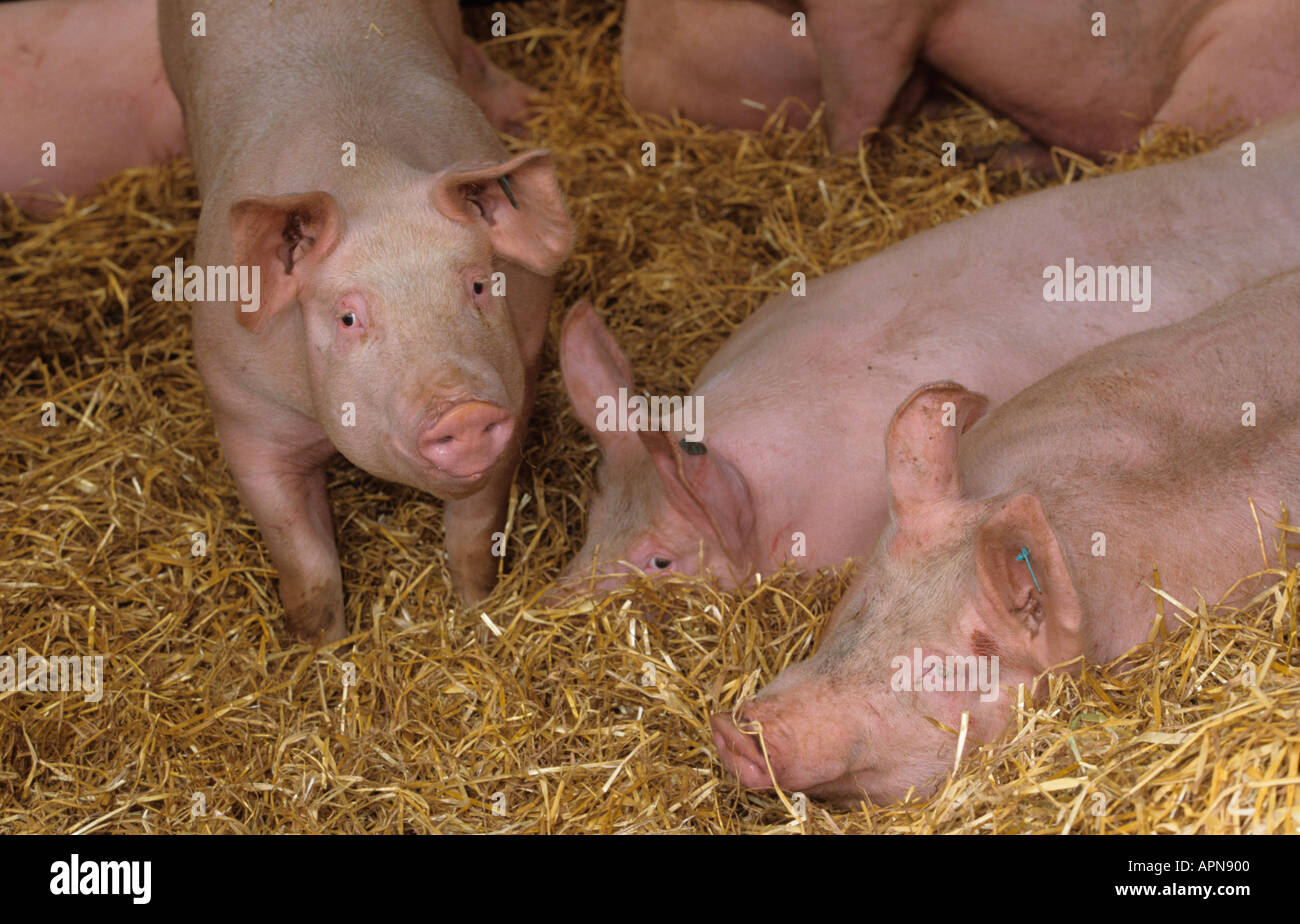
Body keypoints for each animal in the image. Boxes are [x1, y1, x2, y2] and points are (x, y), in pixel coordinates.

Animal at [158, 0, 572, 642]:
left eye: (479, 285)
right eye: (349, 317)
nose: (465, 410)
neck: (368, 176)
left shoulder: (520, 369)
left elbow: (475, 532)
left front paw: (475, 613)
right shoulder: (243, 410)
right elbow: (306, 565)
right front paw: (326, 650)